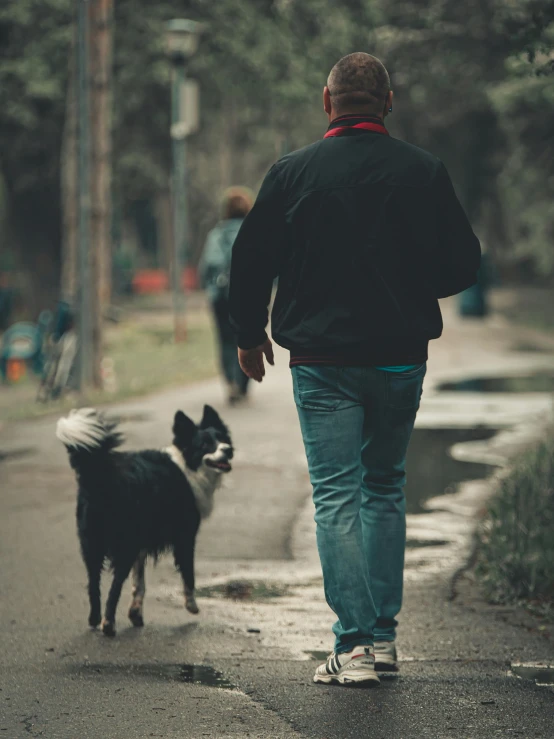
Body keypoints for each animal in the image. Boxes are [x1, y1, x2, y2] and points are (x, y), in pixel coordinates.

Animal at [54, 404, 231, 636]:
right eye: (205, 444)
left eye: (222, 438)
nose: (228, 449)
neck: (187, 465)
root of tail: (101, 476)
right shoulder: (184, 537)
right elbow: (188, 574)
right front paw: (191, 605)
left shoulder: (140, 544)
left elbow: (139, 584)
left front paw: (135, 613)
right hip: (123, 546)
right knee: (114, 588)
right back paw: (108, 625)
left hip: (92, 545)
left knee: (93, 584)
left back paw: (94, 619)